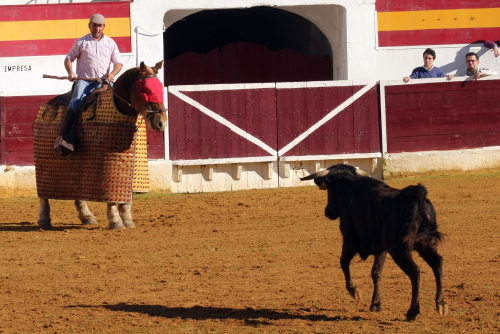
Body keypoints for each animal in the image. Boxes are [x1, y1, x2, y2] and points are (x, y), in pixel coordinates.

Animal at [34, 60, 170, 228]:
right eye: (145, 89)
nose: (161, 123)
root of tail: (48, 103)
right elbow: (110, 196)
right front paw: (116, 220)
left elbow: (127, 197)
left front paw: (127, 220)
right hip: (43, 163)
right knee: (43, 193)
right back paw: (44, 219)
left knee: (78, 192)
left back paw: (87, 216)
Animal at [300, 164, 450, 320]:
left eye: (329, 190)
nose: (327, 212)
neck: (350, 189)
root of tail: (417, 195)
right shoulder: (381, 249)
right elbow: (376, 272)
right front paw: (376, 303)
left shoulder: (350, 241)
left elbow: (344, 262)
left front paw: (354, 290)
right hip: (427, 244)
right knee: (438, 263)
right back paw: (441, 303)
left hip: (399, 249)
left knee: (415, 271)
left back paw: (413, 311)